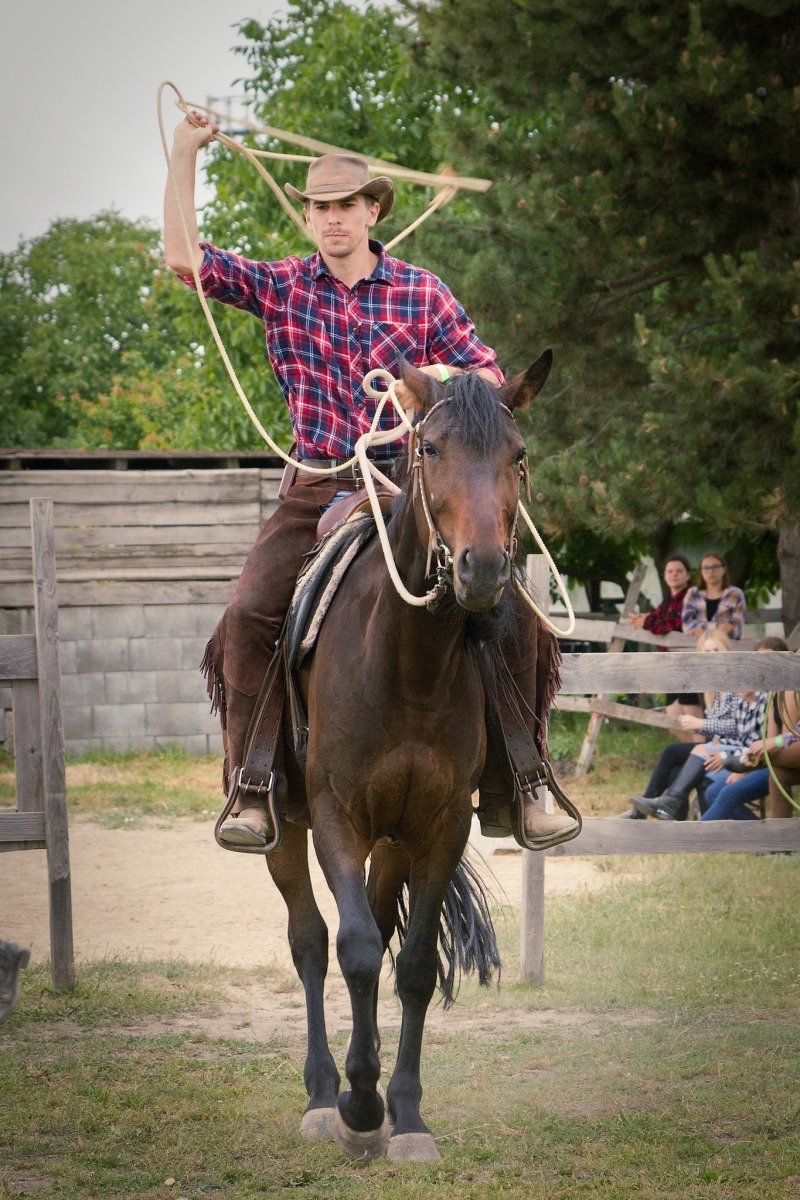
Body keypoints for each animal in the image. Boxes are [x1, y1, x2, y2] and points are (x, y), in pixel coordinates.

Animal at [264, 351, 555, 1162]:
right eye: (431, 450)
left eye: (518, 456)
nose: (482, 569)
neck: (408, 664)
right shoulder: (335, 815)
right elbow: (357, 949)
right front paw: (360, 1107)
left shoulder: (439, 823)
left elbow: (415, 962)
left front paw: (406, 1114)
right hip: (285, 824)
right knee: (311, 940)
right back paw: (322, 1096)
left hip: (393, 839)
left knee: (376, 925)